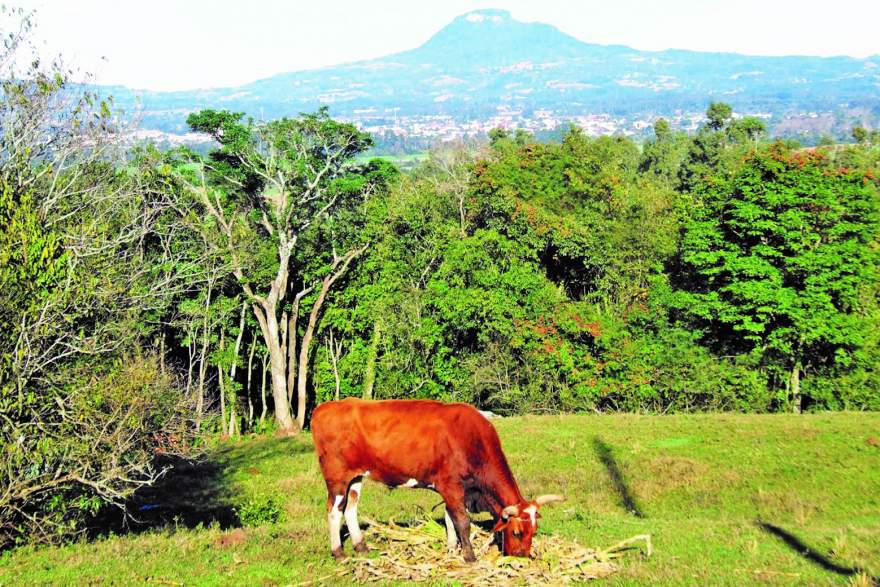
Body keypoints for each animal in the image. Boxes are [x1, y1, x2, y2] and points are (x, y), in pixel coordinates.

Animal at [312, 398, 568, 564]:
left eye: (534, 531)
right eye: (515, 532)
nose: (521, 558)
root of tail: (327, 406)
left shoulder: (455, 489)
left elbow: (450, 519)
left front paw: (452, 548)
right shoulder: (451, 486)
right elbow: (462, 521)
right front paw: (469, 556)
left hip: (356, 477)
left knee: (351, 508)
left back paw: (361, 546)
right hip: (336, 477)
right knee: (335, 510)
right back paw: (338, 552)